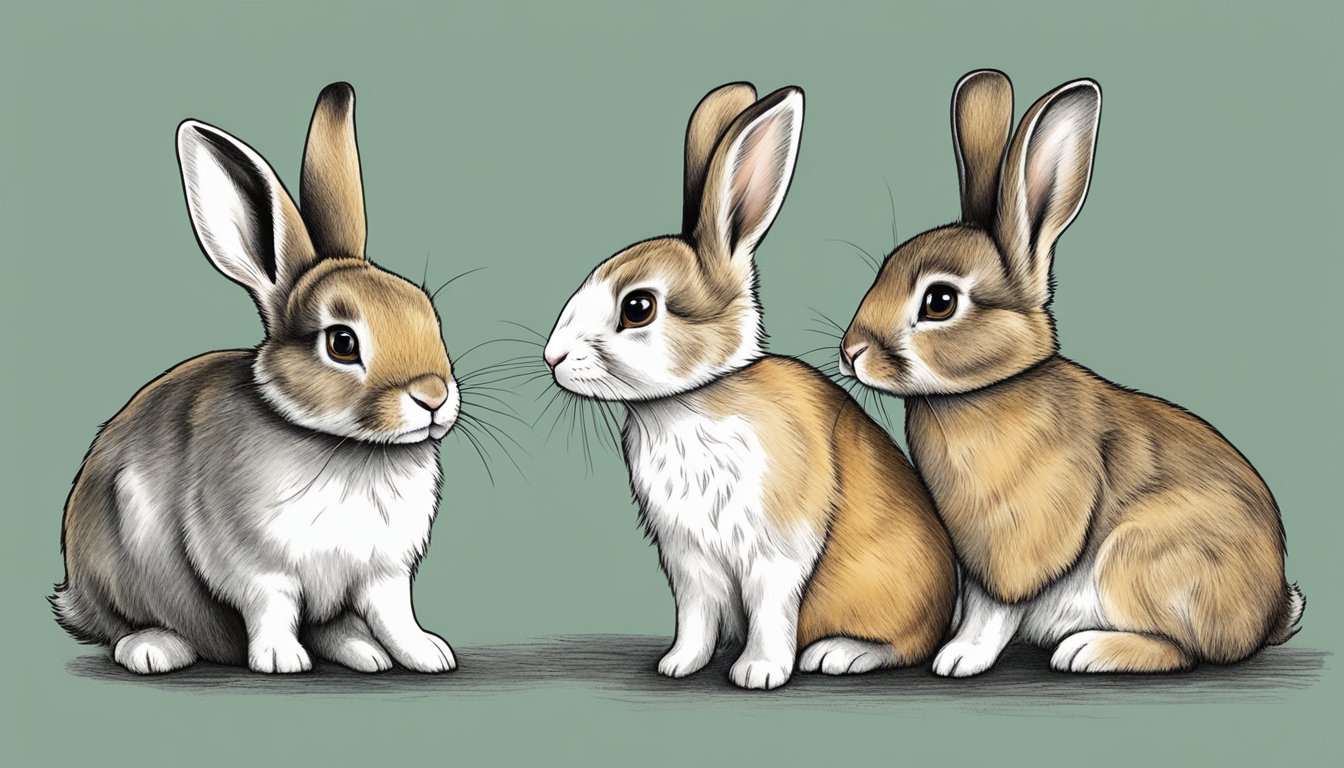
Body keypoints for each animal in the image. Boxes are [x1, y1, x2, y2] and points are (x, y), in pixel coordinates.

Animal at [50, 83, 461, 675]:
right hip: (116, 561)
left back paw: (362, 653)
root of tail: (73, 594)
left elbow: (394, 615)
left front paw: (428, 654)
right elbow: (273, 605)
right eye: (342, 343)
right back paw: (153, 649)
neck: (349, 448)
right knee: (126, 625)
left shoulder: (383, 572)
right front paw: (280, 660)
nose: (433, 396)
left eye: (429, 315)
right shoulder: (254, 565)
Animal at [542, 82, 957, 690]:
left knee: (906, 646)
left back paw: (840, 654)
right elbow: (695, 614)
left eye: (638, 307)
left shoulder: (776, 548)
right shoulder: (688, 559)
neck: (690, 403)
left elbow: (769, 608)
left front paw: (758, 672)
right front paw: (679, 664)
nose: (553, 357)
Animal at [838, 69, 1304, 676]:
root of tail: (1269, 612)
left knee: (1183, 651)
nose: (850, 351)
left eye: (939, 301)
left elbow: (996, 608)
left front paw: (959, 657)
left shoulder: (1017, 543)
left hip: (1137, 557)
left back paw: (1088, 650)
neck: (988, 391)